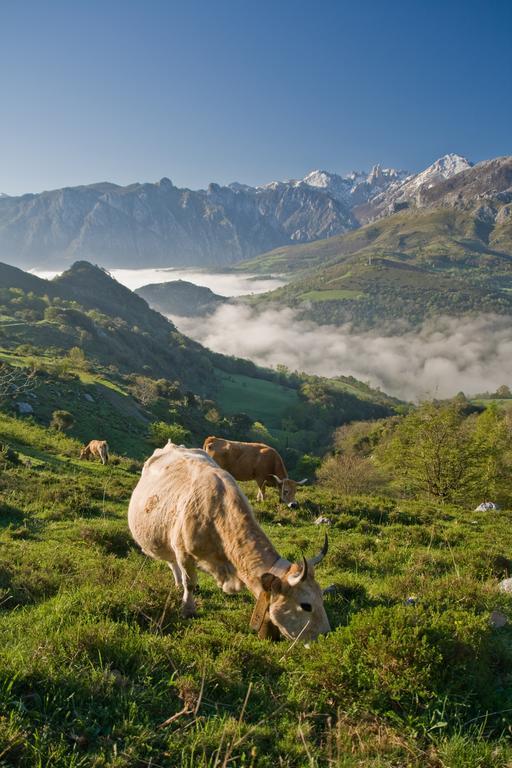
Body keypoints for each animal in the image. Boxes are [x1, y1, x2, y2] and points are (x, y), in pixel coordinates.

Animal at [126, 440, 330, 644]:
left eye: (321, 597)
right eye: (306, 605)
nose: (325, 634)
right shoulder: (183, 552)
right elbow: (189, 582)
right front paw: (188, 609)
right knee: (172, 562)